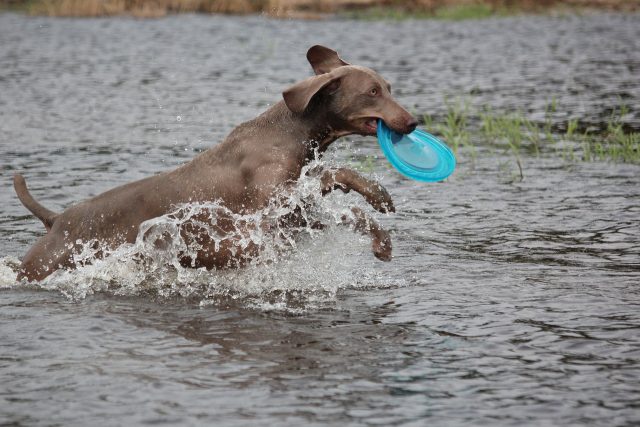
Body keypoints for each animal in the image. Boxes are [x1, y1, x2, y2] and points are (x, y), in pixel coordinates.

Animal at [13, 45, 420, 282]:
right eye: (372, 92)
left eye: (389, 88)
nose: (414, 122)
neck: (292, 131)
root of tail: (56, 220)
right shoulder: (266, 217)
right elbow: (340, 193)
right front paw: (379, 216)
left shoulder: (294, 207)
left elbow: (341, 194)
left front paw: (380, 216)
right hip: (44, 263)